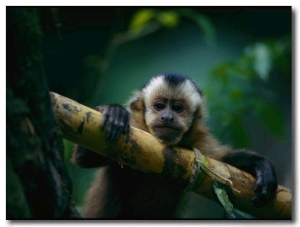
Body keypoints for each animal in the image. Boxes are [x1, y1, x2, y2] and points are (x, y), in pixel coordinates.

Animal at [71, 72, 278, 218]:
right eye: (159, 106)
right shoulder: (136, 129)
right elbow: (84, 157)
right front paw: (114, 112)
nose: (167, 117)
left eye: (177, 108)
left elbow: (224, 165)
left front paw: (262, 166)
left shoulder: (199, 141)